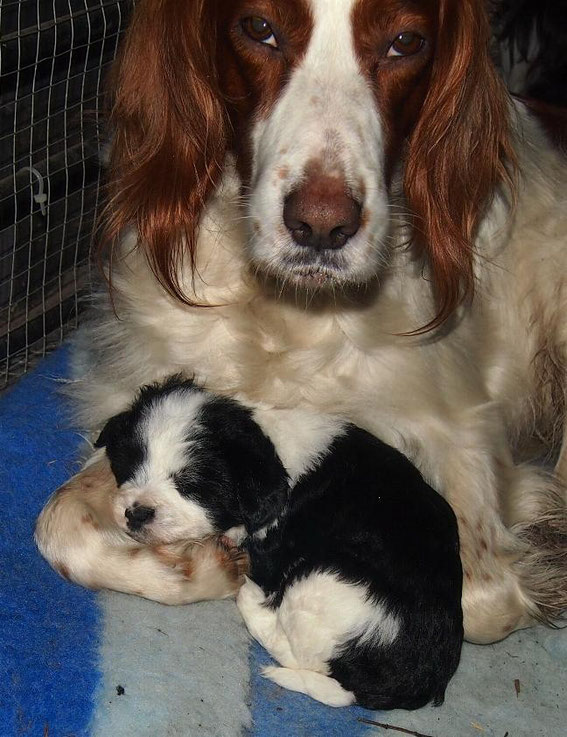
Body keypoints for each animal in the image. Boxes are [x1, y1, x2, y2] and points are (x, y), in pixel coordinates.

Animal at [54, 0, 567, 640]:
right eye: (259, 29)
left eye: (405, 41)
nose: (321, 227)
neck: (283, 310)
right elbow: (61, 525)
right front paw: (201, 563)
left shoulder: (460, 428)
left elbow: (481, 598)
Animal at [96, 376, 462, 712]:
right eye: (128, 467)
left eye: (190, 485)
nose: (136, 513)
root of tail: (414, 685)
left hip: (320, 581)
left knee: (307, 660)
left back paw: (251, 599)